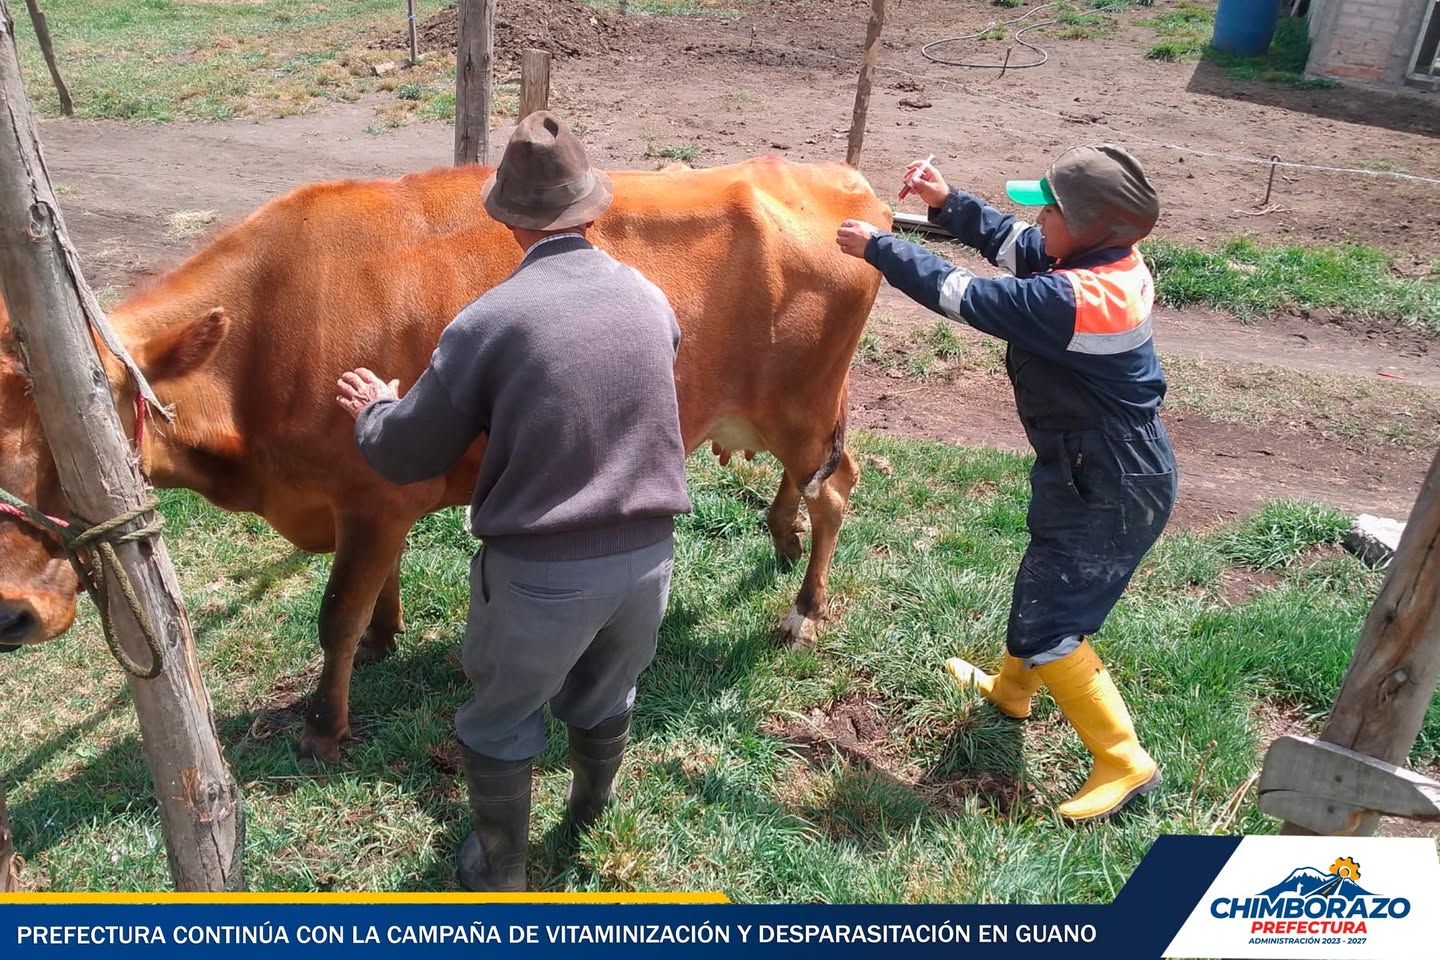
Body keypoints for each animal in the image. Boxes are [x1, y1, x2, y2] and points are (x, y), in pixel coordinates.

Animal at [0, 156, 887, 759]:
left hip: (803, 408)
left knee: (837, 489)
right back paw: (780, 536)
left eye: (79, 440)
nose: (12, 614)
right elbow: (372, 593)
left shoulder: (372, 495)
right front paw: (384, 641)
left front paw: (324, 728)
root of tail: (833, 178)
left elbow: (335, 612)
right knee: (806, 484)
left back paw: (805, 608)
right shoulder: (371, 499)